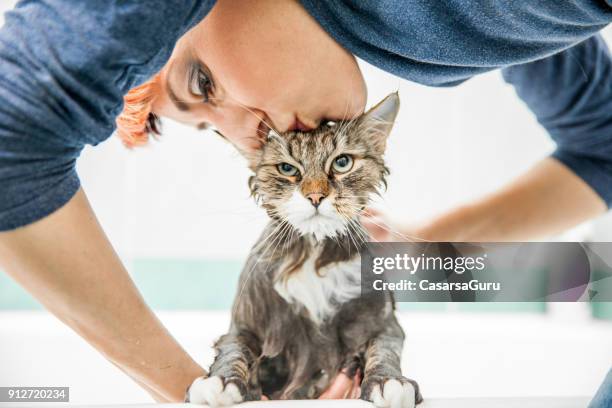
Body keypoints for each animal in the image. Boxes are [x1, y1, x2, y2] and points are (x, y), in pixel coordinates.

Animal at [189, 93, 424, 408]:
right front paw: (220, 381)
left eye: (342, 163)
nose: (315, 196)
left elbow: (383, 350)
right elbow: (234, 350)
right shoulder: (245, 327)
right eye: (287, 169)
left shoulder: (383, 324)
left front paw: (389, 382)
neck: (313, 253)